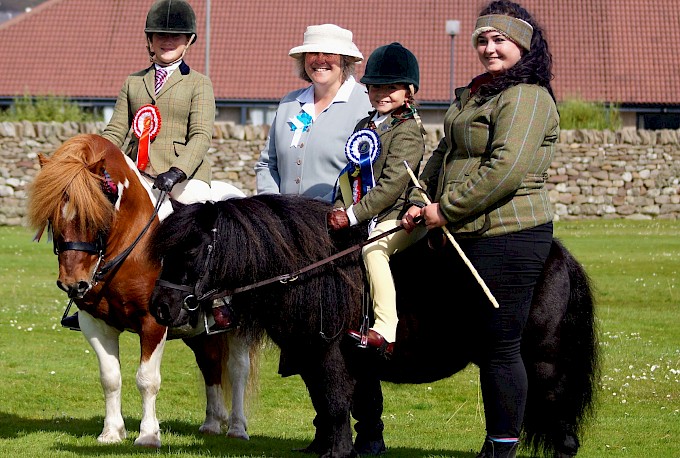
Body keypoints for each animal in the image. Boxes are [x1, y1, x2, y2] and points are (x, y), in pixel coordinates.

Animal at [26, 132, 258, 448]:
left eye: (96, 216)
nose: (74, 284)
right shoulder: (94, 323)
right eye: (51, 218)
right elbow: (110, 377)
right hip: (197, 330)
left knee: (237, 369)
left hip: (238, 327)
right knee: (209, 362)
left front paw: (148, 435)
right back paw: (212, 424)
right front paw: (111, 433)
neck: (130, 245)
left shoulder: (153, 322)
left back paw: (237, 427)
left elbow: (147, 379)